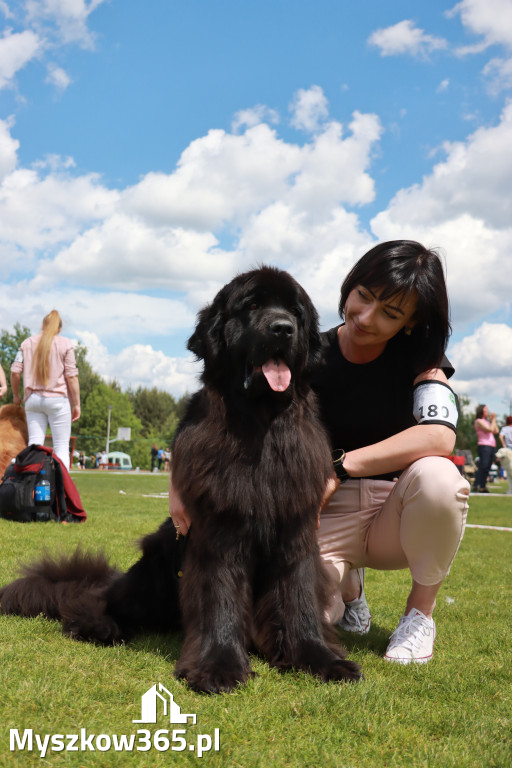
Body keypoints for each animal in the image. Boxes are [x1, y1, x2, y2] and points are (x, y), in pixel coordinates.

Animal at [0, 268, 360, 692]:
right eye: (252, 305)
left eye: (295, 311)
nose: (283, 328)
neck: (260, 424)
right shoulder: (218, 533)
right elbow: (219, 597)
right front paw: (219, 666)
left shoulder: (296, 532)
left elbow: (299, 598)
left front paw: (320, 659)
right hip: (153, 568)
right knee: (100, 598)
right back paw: (100, 624)